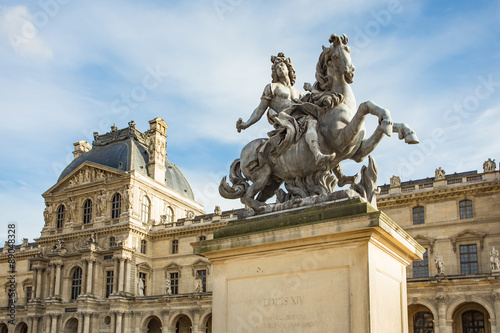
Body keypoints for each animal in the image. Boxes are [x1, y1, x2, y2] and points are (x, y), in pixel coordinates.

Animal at [220, 34, 418, 210]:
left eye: (349, 50)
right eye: (336, 56)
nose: (351, 72)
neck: (339, 101)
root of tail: (243, 153)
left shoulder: (358, 151)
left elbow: (379, 120)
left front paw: (404, 130)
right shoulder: (340, 140)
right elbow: (365, 105)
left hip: (272, 181)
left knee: (257, 196)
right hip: (263, 174)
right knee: (246, 197)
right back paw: (264, 208)